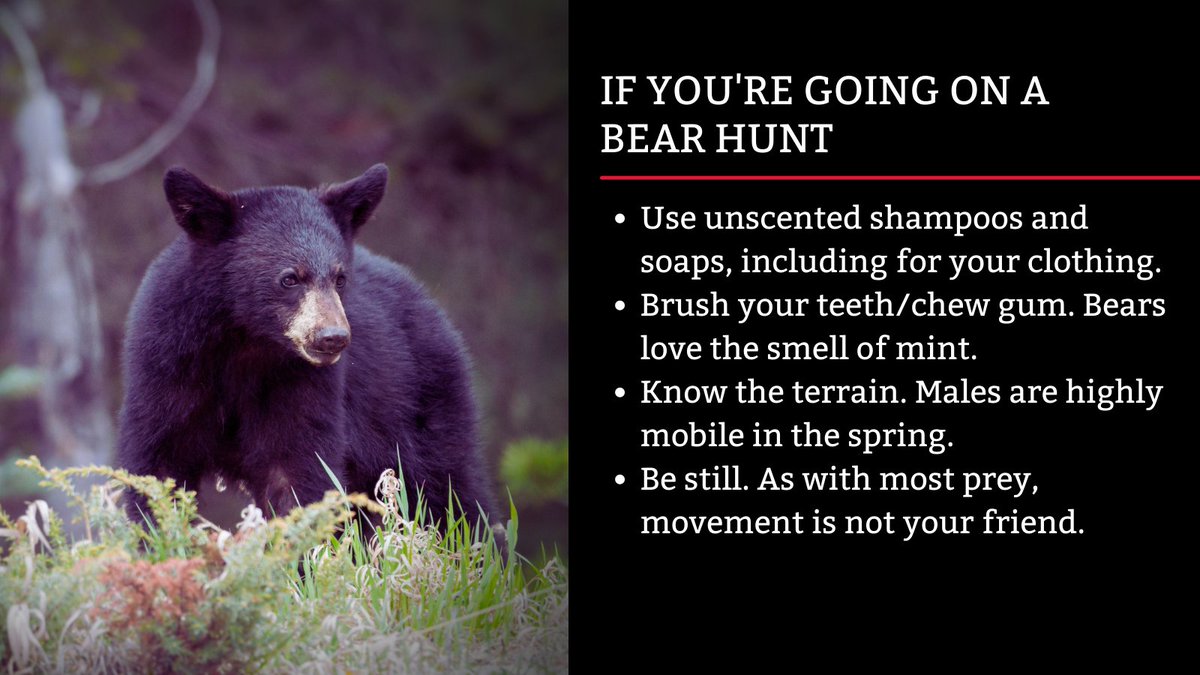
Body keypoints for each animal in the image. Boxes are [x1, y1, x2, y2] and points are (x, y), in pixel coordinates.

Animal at [117, 164, 495, 531]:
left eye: (340, 278)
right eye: (289, 278)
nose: (332, 336)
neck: (247, 342)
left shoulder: (303, 385)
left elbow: (300, 469)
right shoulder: (169, 365)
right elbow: (160, 462)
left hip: (421, 405)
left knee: (450, 489)